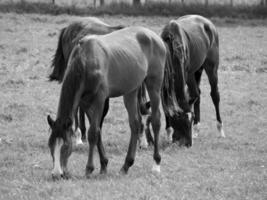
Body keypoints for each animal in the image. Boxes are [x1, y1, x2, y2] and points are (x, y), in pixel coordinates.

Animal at [46, 25, 168, 179]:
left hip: (154, 84)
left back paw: (156, 164)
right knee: (135, 123)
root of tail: (154, 37)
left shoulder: (99, 99)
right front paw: (103, 165)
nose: (57, 173)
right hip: (131, 90)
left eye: (66, 146)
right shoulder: (85, 102)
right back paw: (126, 165)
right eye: (50, 145)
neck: (85, 60)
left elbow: (93, 133)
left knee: (156, 120)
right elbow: (97, 131)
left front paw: (89, 168)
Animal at [161, 14, 226, 145]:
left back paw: (220, 129)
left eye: (190, 121)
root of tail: (208, 23)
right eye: (181, 122)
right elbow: (165, 105)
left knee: (214, 95)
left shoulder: (187, 73)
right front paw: (169, 133)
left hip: (210, 68)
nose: (188, 144)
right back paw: (197, 130)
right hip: (197, 70)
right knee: (198, 94)